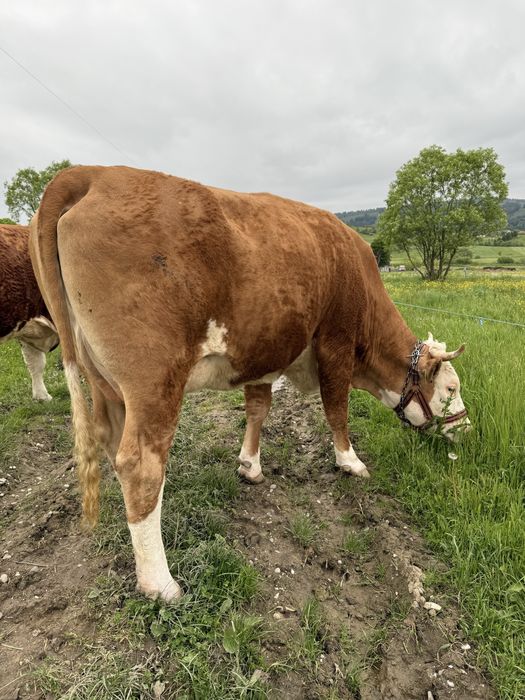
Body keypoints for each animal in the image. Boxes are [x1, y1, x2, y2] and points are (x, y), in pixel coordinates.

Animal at [30, 165, 470, 602]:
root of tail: (92, 173)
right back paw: (160, 582)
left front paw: (250, 466)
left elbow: (258, 409)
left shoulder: (263, 356)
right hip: (154, 379)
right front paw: (350, 461)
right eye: (451, 389)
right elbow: (336, 409)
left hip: (102, 379)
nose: (465, 427)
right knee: (141, 465)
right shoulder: (336, 344)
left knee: (110, 440)